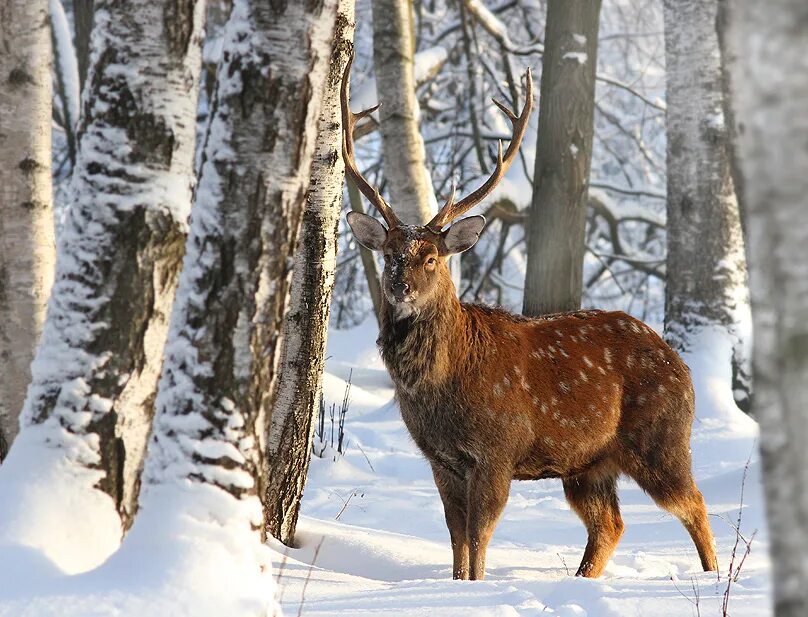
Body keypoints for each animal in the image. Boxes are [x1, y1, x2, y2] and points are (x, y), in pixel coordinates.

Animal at [338, 54, 716, 584]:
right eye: (390, 253)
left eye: (431, 258)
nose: (400, 287)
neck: (440, 389)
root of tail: (679, 362)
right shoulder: (440, 460)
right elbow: (456, 539)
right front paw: (456, 587)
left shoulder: (497, 450)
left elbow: (478, 539)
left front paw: (476, 588)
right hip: (588, 465)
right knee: (610, 524)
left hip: (661, 438)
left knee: (694, 503)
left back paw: (714, 575)